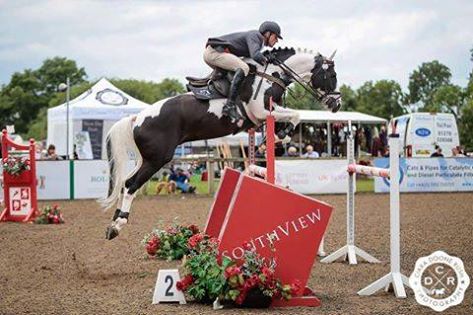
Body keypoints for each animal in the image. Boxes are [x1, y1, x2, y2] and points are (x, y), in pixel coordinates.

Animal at [101, 47, 340, 239]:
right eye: (331, 75)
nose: (336, 105)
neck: (270, 75)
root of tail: (136, 119)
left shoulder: (264, 116)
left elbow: (290, 120)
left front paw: (279, 137)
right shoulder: (262, 111)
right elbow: (296, 115)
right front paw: (282, 136)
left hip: (146, 159)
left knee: (125, 183)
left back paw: (113, 223)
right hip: (158, 159)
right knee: (131, 185)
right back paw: (118, 225)